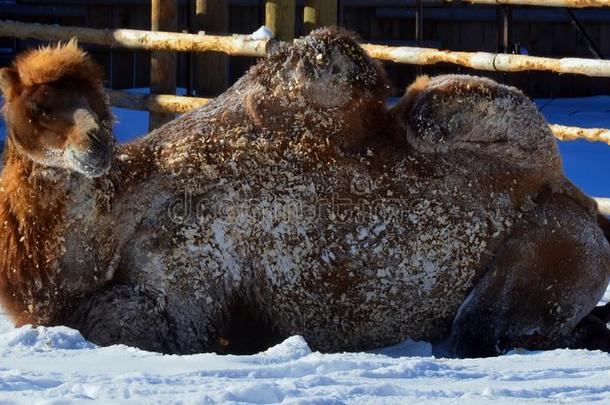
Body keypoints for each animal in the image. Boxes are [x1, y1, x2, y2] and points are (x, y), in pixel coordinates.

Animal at [1, 30, 608, 356]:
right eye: (37, 107)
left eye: (96, 104)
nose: (97, 143)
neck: (112, 221)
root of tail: (574, 197)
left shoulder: (185, 282)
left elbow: (101, 318)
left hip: (536, 260)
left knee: (480, 330)